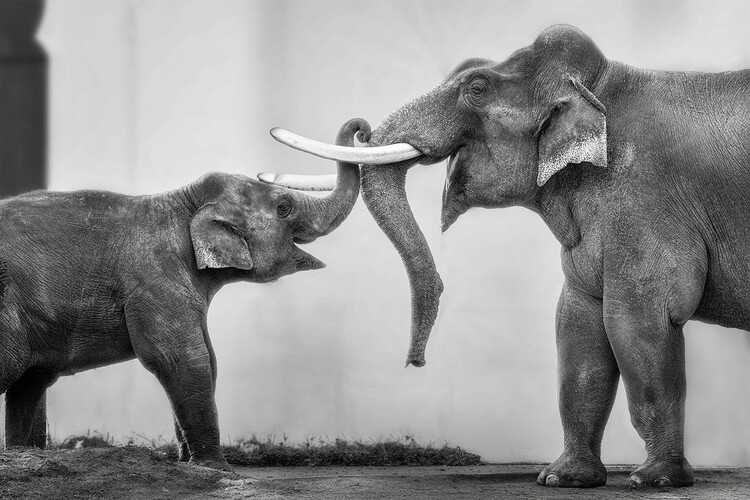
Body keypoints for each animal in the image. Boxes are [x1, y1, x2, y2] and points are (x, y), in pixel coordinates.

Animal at [0, 118, 370, 470]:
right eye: (284, 206)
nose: (362, 130)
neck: (182, 201)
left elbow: (210, 359)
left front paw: (185, 463)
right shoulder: (155, 279)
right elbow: (182, 359)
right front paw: (217, 468)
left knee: (30, 382)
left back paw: (24, 455)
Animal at [264, 26, 750, 488]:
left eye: (477, 87)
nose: (415, 363)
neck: (600, 87)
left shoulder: (645, 206)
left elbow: (639, 324)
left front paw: (655, 480)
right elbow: (577, 328)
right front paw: (561, 479)